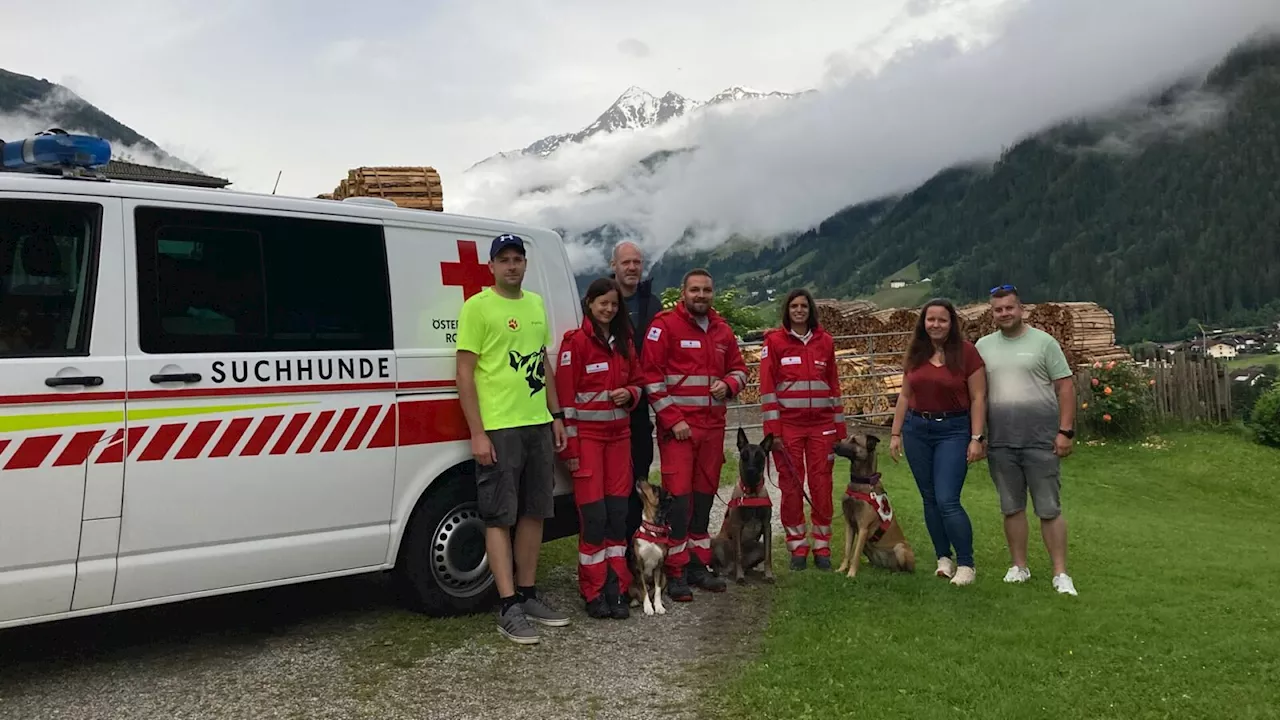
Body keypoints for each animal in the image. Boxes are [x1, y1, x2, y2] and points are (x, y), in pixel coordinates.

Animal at [834, 430, 916, 576]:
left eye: (854, 441)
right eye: (847, 438)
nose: (834, 446)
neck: (861, 481)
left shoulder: (863, 529)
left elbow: (855, 554)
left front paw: (851, 574)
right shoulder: (849, 525)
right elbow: (848, 551)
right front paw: (842, 569)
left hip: (900, 547)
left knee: (904, 570)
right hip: (868, 546)